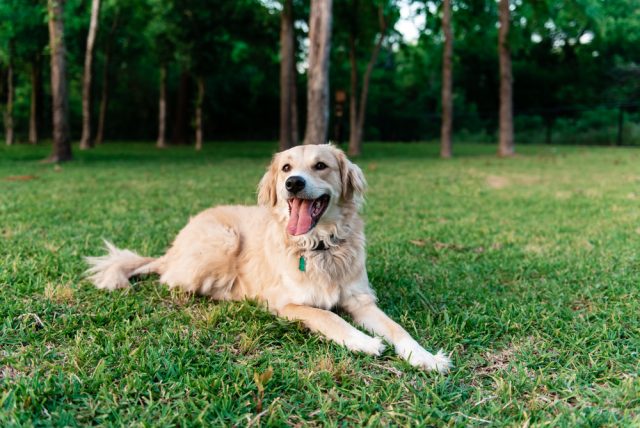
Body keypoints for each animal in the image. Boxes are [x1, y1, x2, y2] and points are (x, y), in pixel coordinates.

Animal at [87, 143, 452, 372]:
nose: (293, 183)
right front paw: (362, 341)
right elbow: (327, 316)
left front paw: (426, 357)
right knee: (174, 280)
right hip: (224, 239)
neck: (318, 247)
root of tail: (171, 250)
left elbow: (398, 329)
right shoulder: (287, 304)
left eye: (321, 166)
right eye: (287, 167)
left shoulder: (361, 301)